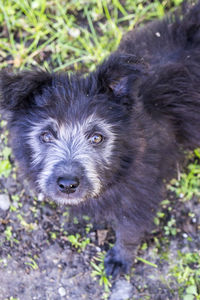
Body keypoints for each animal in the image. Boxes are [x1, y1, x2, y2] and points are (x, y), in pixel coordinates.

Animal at [0, 1, 200, 278]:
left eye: (97, 137)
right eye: (46, 135)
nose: (68, 185)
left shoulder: (140, 192)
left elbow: (129, 231)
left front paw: (120, 260)